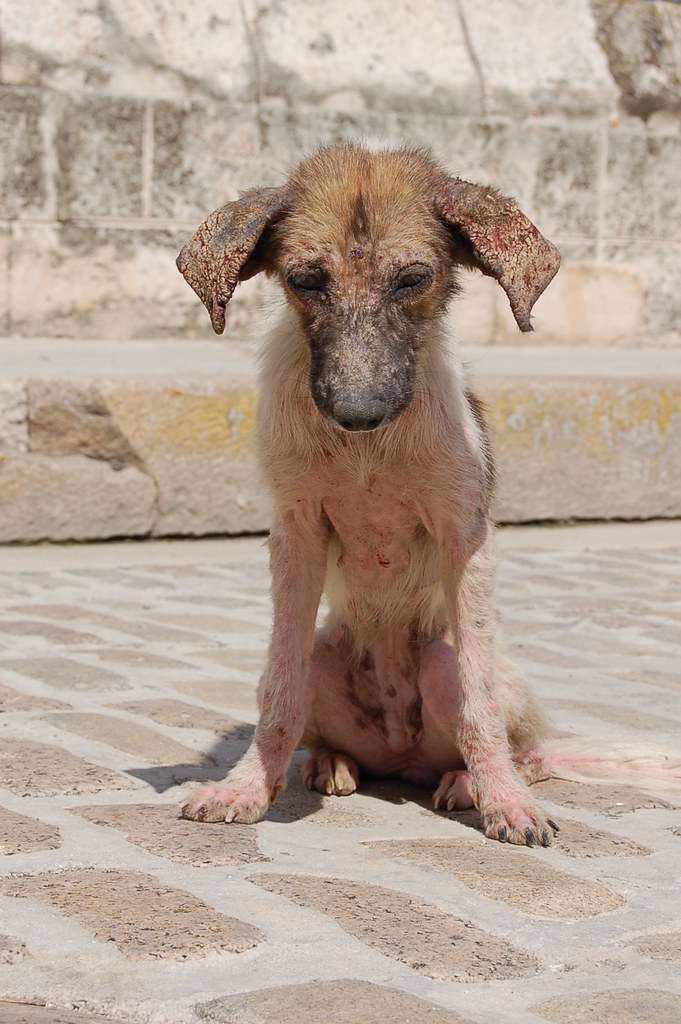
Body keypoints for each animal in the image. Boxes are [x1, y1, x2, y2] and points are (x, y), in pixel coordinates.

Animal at [178, 142, 675, 847]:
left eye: (413, 279)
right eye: (307, 280)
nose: (357, 412)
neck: (366, 453)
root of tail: (402, 758)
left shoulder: (465, 535)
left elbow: (479, 703)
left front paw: (507, 803)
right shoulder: (295, 533)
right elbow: (278, 696)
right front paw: (247, 789)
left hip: (446, 665)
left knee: (508, 734)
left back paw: (473, 782)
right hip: (325, 659)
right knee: (308, 693)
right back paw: (333, 763)